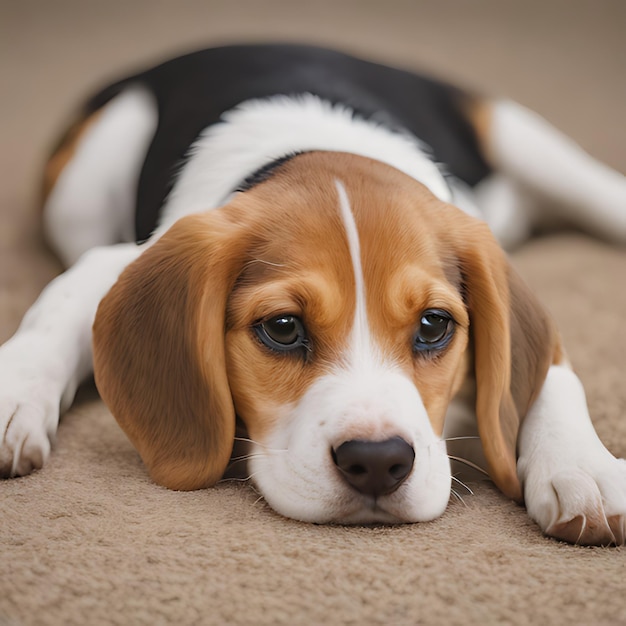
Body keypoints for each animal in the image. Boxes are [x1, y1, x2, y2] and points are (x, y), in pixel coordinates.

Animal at [1, 44, 624, 544]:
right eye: (283, 329)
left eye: (433, 325)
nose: (378, 462)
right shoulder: (116, 258)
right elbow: (56, 308)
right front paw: (15, 391)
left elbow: (554, 372)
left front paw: (580, 466)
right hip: (82, 185)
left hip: (522, 137)